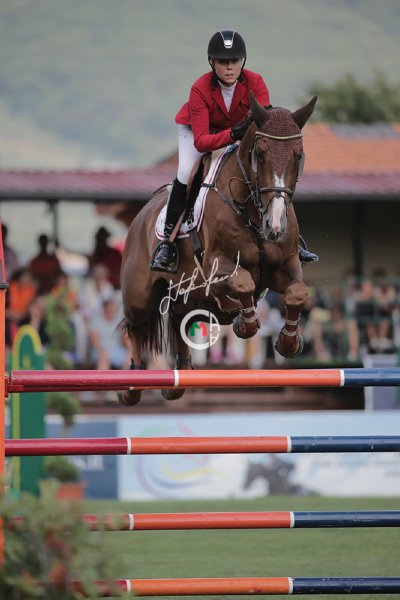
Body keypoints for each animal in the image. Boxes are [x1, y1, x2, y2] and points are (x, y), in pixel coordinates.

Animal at [118, 93, 317, 406]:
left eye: (299, 155)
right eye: (261, 153)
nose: (275, 226)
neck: (252, 210)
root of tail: (141, 216)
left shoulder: (284, 265)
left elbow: (297, 292)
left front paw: (288, 341)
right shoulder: (214, 266)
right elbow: (243, 281)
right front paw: (244, 324)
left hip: (193, 300)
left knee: (179, 318)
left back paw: (178, 379)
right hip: (139, 295)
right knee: (135, 327)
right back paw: (131, 385)